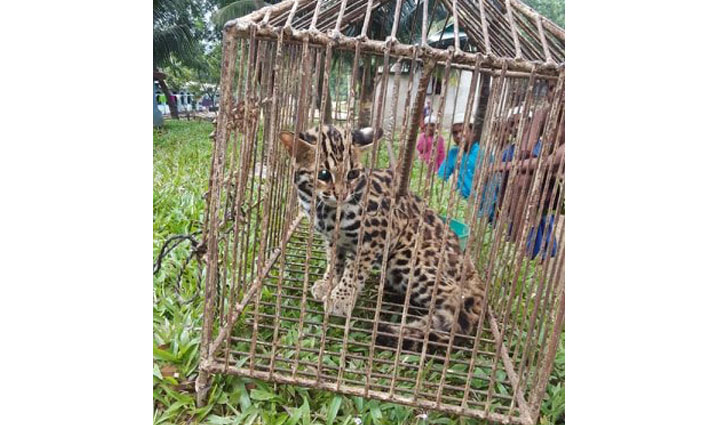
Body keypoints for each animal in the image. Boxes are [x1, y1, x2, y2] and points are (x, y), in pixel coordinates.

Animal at [279, 124, 486, 351]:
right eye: (323, 174)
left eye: (352, 174)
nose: (342, 194)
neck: (322, 208)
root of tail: (471, 269)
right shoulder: (333, 239)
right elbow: (334, 262)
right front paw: (328, 283)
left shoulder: (377, 234)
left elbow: (354, 271)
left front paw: (341, 299)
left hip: (407, 258)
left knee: (458, 300)